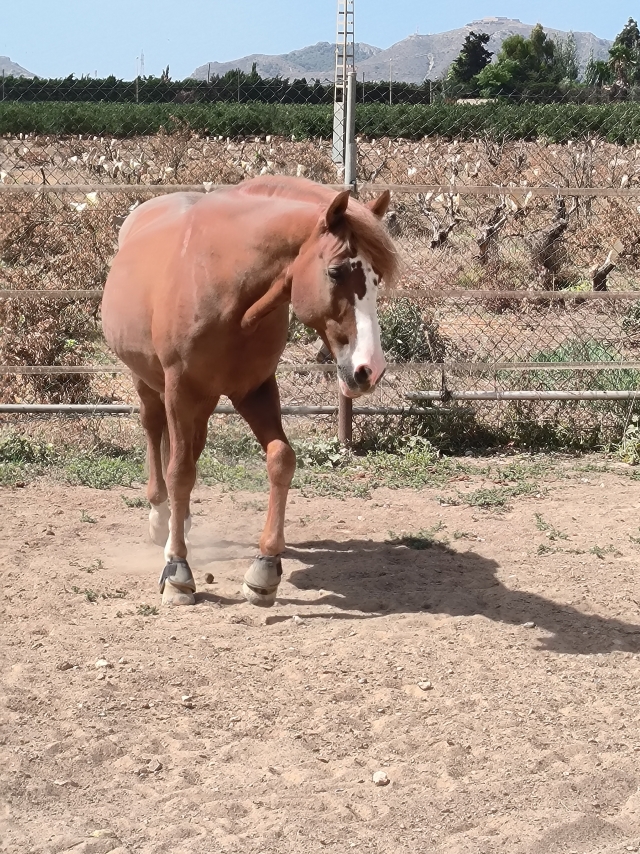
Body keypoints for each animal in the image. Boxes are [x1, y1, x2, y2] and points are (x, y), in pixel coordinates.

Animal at [101, 175, 398, 607]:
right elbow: (179, 472)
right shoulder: (180, 388)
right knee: (156, 432)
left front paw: (266, 568)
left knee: (189, 445)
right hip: (149, 381)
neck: (226, 284)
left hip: (203, 399)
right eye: (336, 272)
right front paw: (177, 571)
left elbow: (281, 459)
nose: (369, 369)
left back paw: (181, 520)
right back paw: (160, 516)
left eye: (377, 279)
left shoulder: (254, 389)